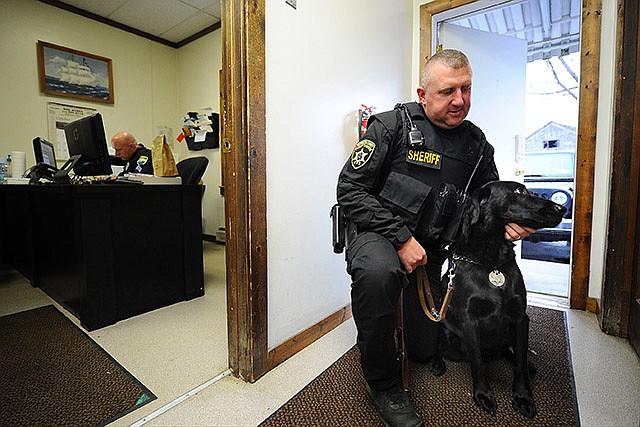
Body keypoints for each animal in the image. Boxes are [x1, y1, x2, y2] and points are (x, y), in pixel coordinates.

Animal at [436, 180, 564, 418]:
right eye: (519, 191)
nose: (562, 208)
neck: (492, 262)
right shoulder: (469, 321)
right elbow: (477, 362)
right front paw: (483, 396)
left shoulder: (520, 318)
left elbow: (520, 362)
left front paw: (523, 397)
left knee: (511, 352)